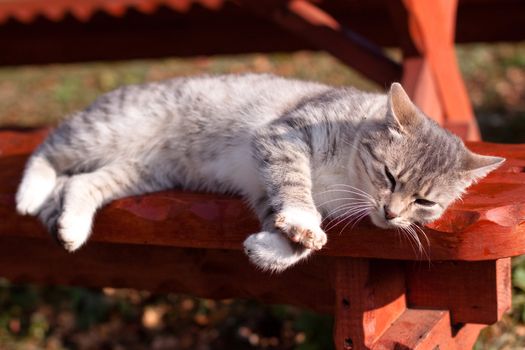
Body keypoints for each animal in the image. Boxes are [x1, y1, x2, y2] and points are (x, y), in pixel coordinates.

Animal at [15, 73, 504, 270]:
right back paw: (29, 192)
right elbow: (296, 189)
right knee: (48, 149)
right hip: (105, 131)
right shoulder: (282, 138)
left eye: (425, 201)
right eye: (389, 175)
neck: (347, 180)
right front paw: (305, 222)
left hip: (145, 170)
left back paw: (73, 227)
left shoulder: (264, 188)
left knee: (81, 182)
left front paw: (267, 248)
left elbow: (290, 238)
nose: (392, 214)